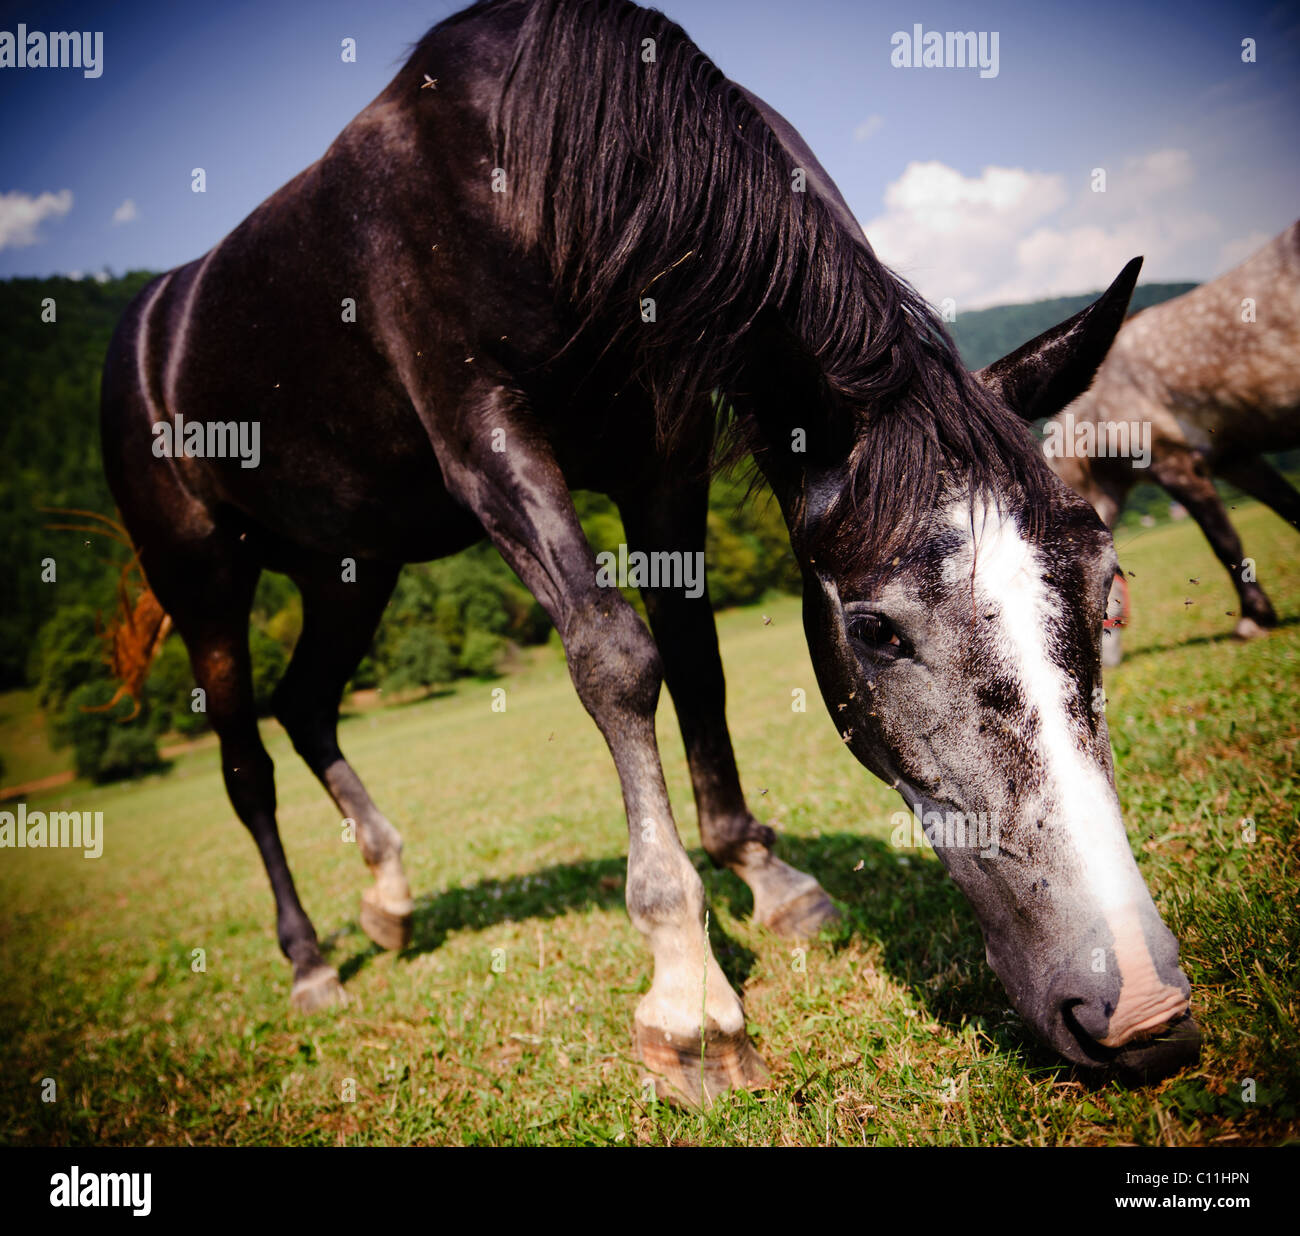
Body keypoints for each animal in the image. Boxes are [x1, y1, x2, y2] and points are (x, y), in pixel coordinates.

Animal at [98, 0, 1196, 1102]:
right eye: (876, 631)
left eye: (1105, 589)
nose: (1141, 1009)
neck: (531, 164)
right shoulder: (488, 442)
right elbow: (617, 659)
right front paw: (689, 994)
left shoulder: (662, 461)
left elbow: (697, 660)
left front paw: (766, 878)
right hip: (203, 579)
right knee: (246, 762)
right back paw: (311, 962)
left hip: (347, 568)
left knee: (307, 706)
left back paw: (390, 898)